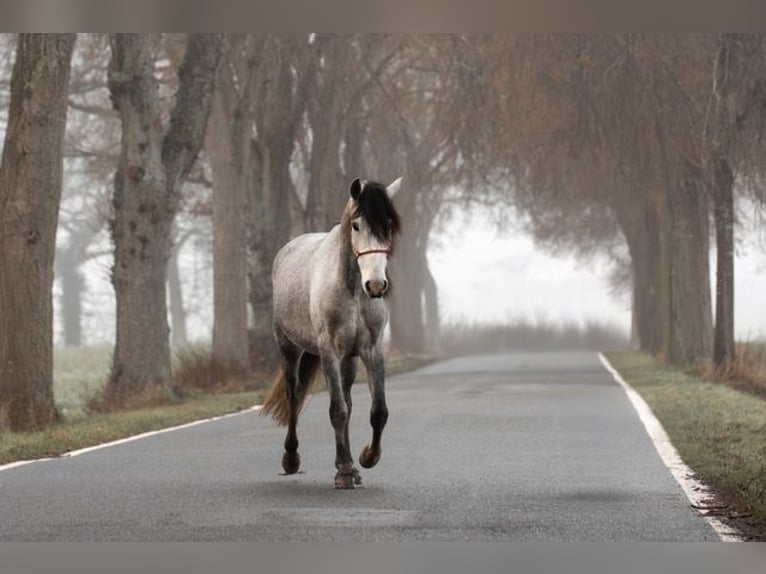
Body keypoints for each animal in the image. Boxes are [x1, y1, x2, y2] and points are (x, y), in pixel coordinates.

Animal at [262, 177, 404, 490]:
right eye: (356, 225)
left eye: (388, 224)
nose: (376, 285)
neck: (352, 290)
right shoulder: (328, 351)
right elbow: (336, 410)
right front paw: (344, 472)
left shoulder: (372, 349)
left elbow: (378, 411)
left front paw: (366, 458)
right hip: (289, 348)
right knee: (294, 396)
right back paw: (291, 458)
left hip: (348, 359)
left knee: (348, 401)